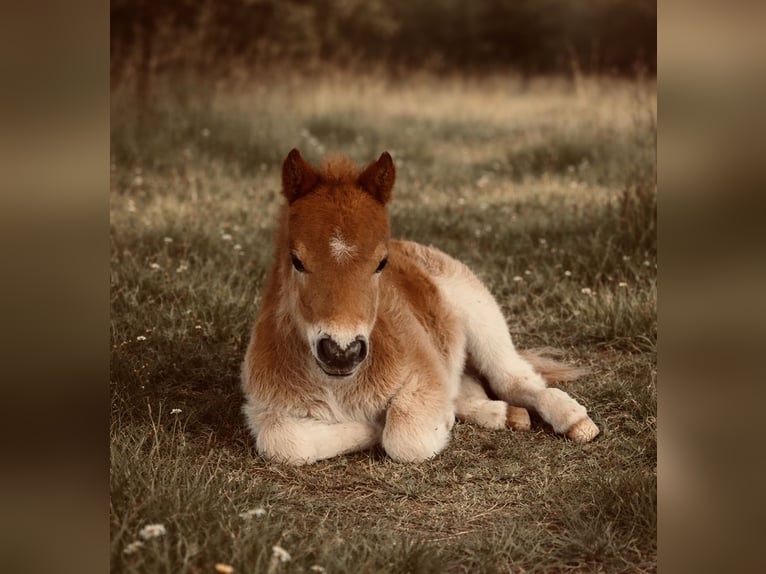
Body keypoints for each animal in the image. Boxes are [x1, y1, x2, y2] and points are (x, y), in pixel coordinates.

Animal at [241, 149, 599, 465]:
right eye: (296, 260)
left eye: (381, 262)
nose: (341, 352)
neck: (338, 386)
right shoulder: (263, 407)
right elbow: (283, 442)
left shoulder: (424, 375)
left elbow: (403, 436)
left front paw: (397, 424)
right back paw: (505, 414)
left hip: (482, 316)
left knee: (513, 378)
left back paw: (575, 420)